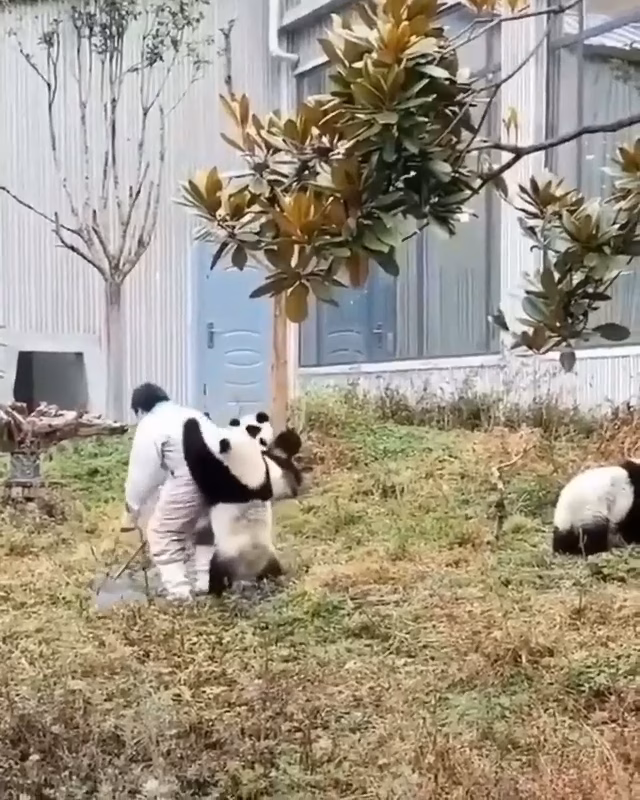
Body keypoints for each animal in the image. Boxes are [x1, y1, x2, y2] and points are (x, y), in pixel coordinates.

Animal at [183, 414, 304, 596]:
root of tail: (249, 571)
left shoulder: (225, 480)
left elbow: (200, 464)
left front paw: (191, 425)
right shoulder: (264, 481)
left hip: (227, 555)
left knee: (217, 573)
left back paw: (214, 591)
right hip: (269, 556)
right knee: (274, 569)